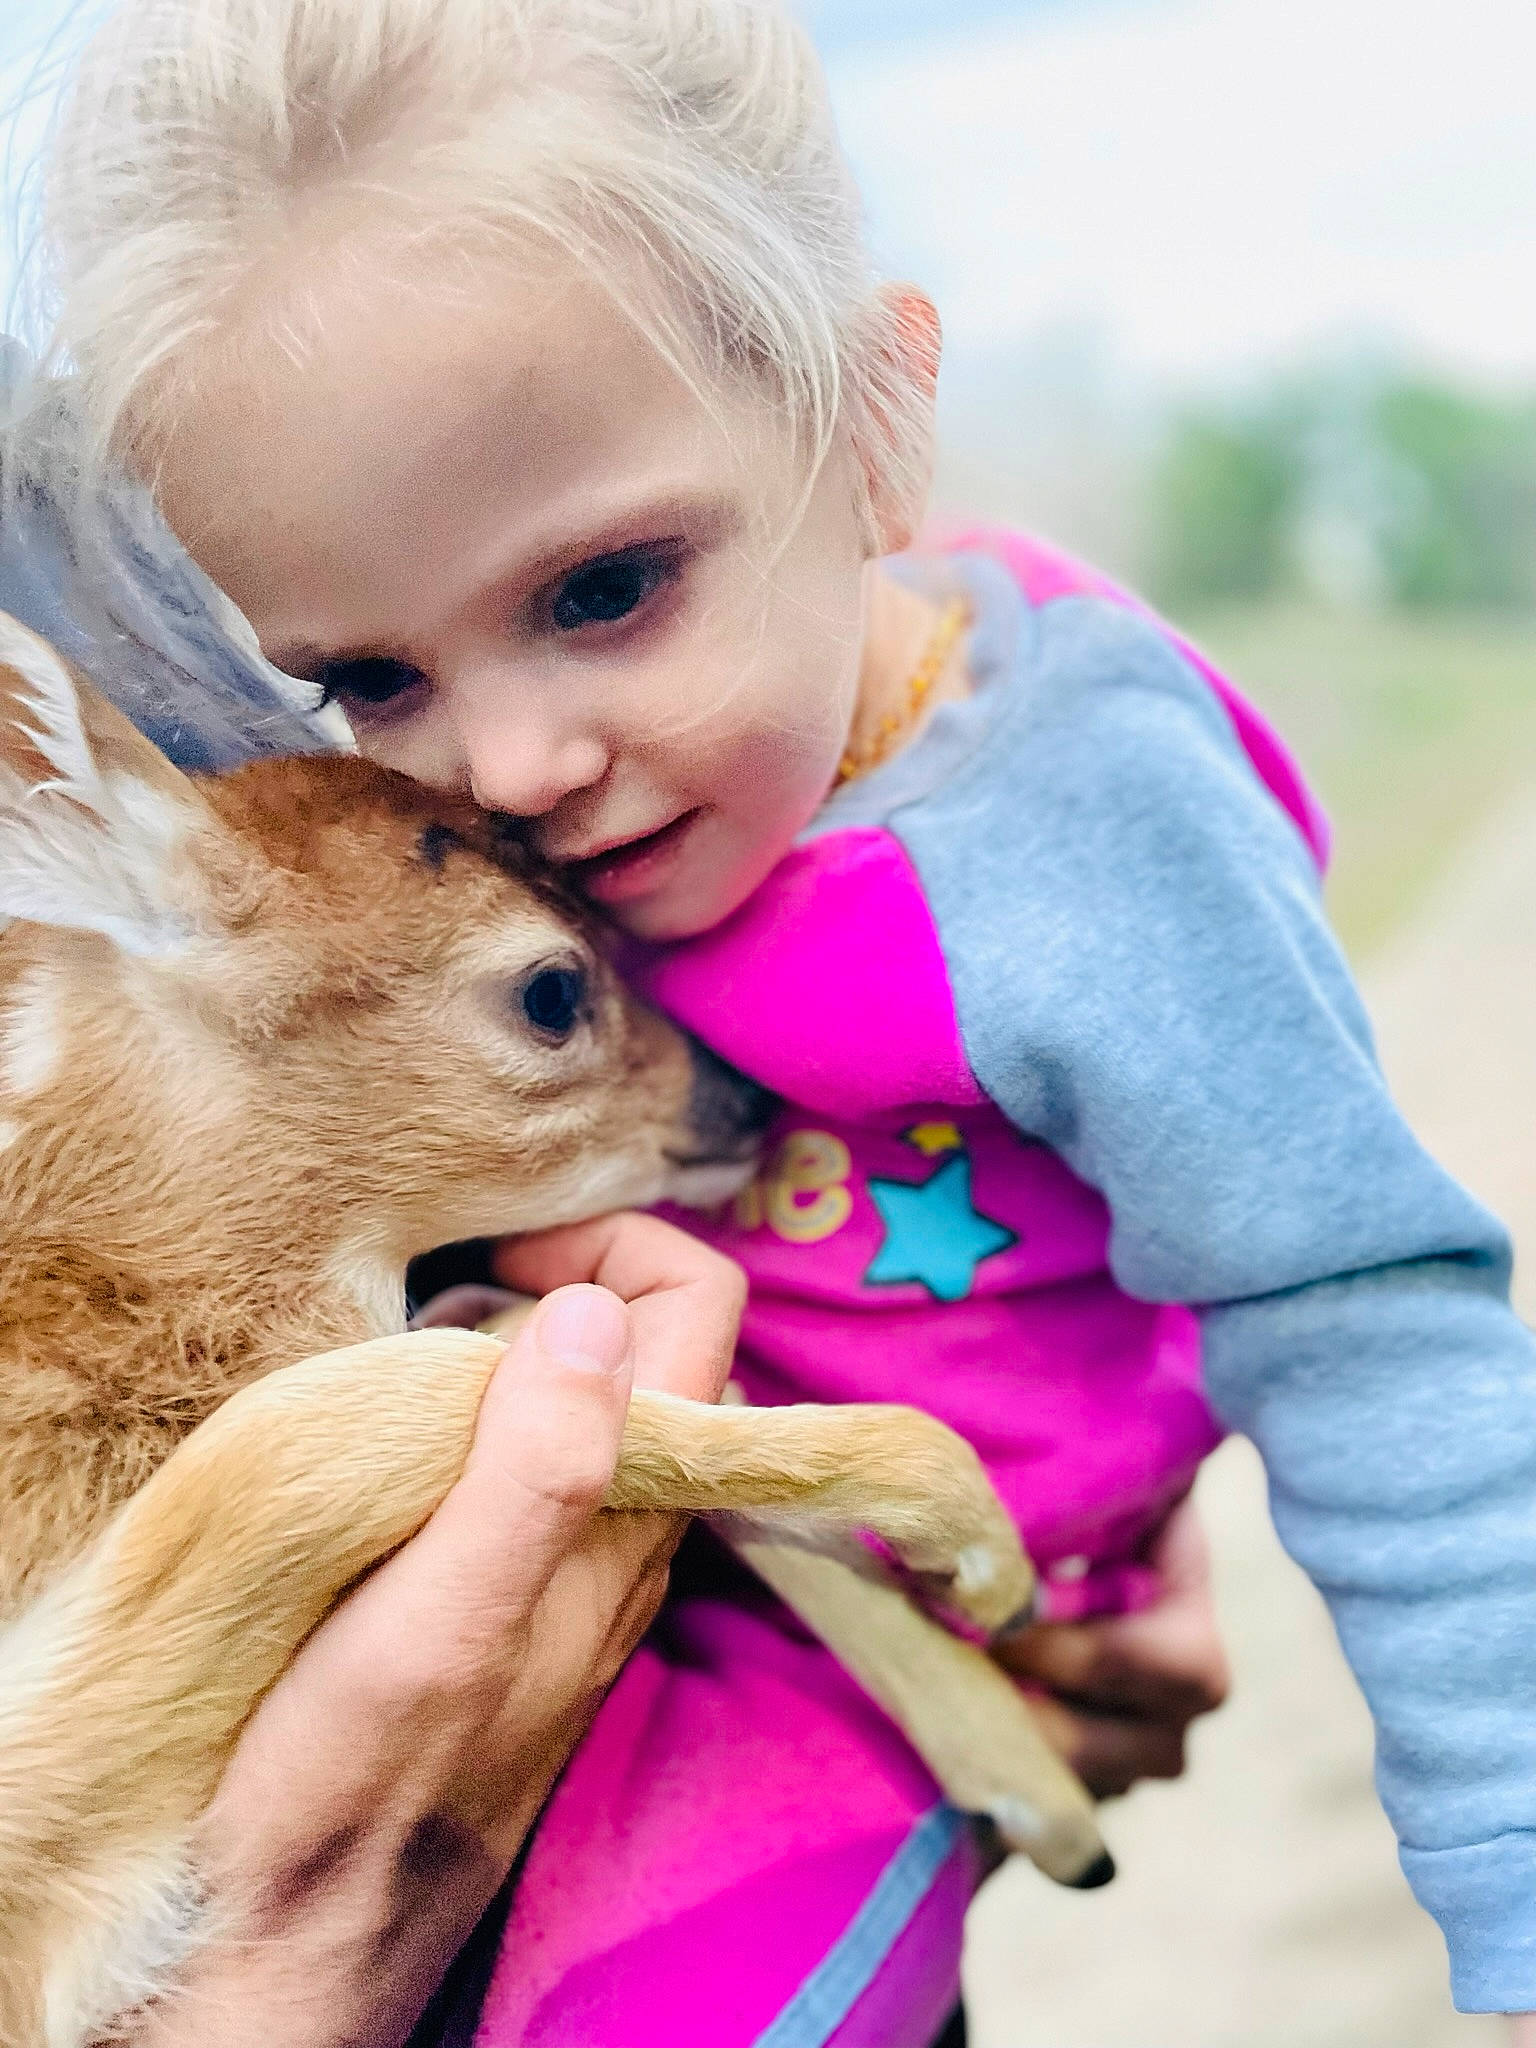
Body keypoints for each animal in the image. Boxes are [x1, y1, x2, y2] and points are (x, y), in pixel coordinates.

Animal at [0, 610, 1107, 2048]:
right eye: (550, 990)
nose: (743, 1097)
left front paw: (1027, 1769)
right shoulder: (44, 1866)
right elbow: (376, 1404)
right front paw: (976, 1544)